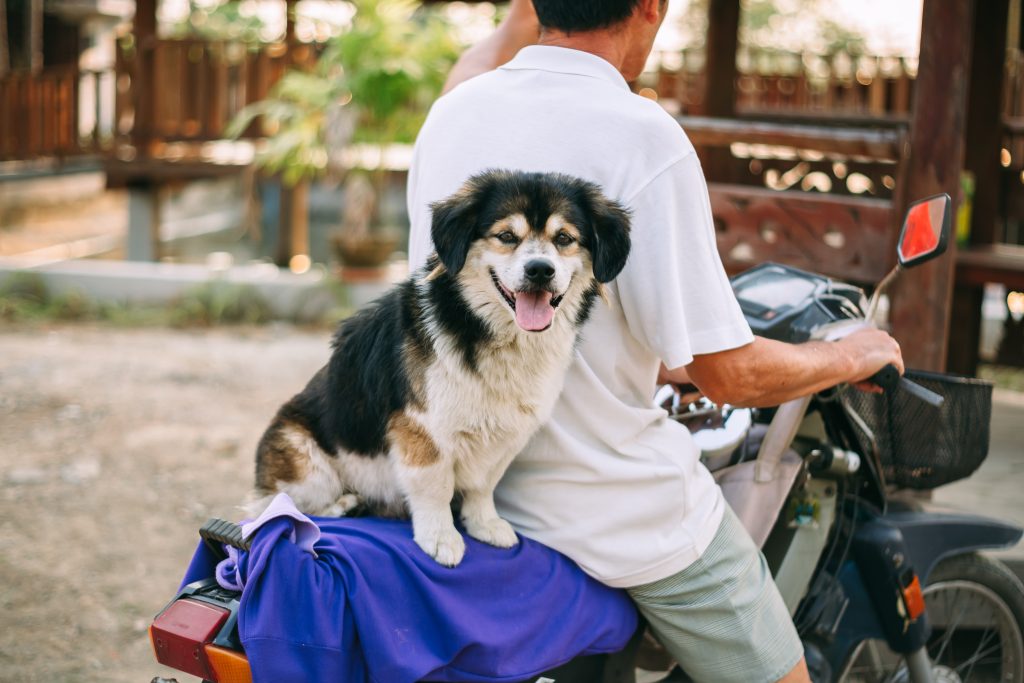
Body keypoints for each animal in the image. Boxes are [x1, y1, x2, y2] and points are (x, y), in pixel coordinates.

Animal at [249, 171, 630, 565]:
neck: (493, 336)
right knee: (279, 507)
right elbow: (436, 488)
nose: (540, 270)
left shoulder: (507, 434)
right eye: (507, 236)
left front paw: (484, 523)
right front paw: (440, 537)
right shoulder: (422, 431)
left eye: (564, 238)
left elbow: (483, 484)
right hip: (305, 461)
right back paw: (342, 505)